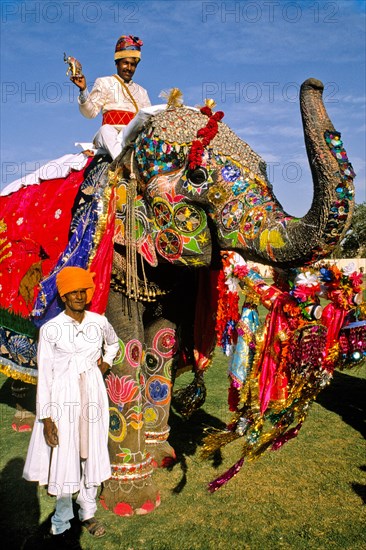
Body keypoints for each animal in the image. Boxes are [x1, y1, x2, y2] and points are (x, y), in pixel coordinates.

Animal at [0, 77, 362, 516]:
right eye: (198, 175)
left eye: (267, 174)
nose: (315, 83)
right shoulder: (116, 258)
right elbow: (125, 348)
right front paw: (134, 502)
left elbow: (164, 343)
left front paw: (163, 457)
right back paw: (26, 422)